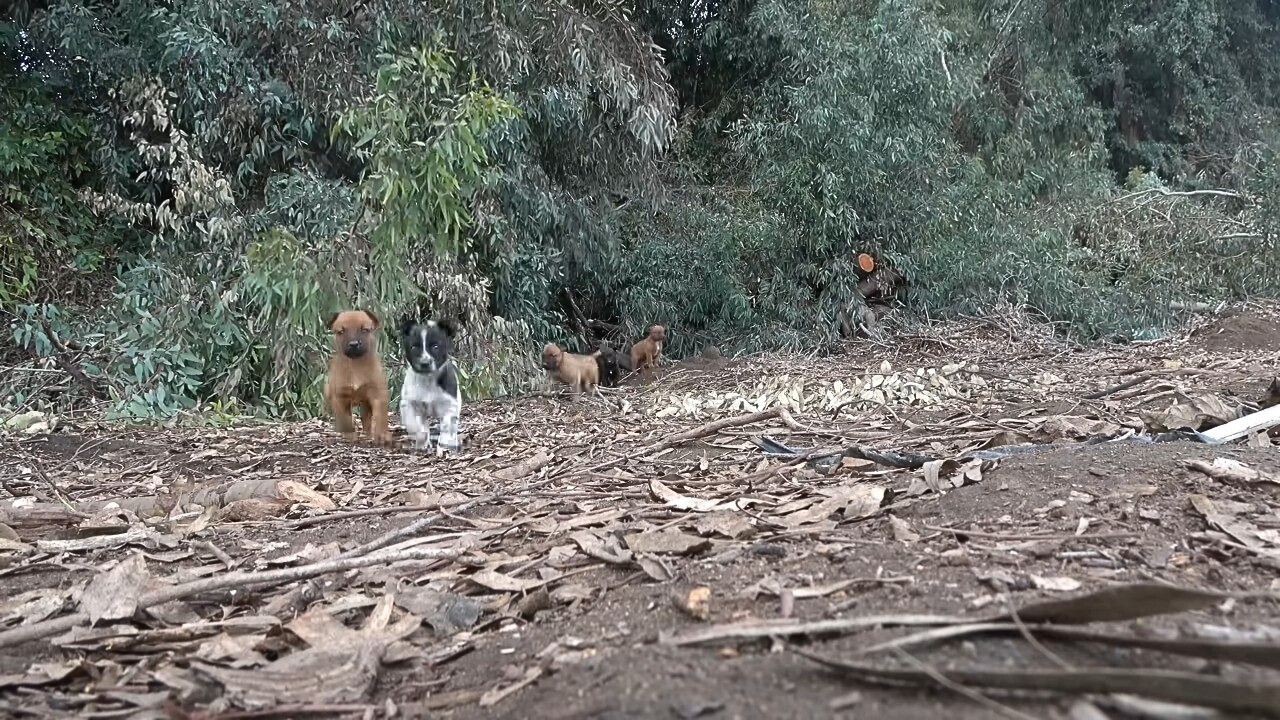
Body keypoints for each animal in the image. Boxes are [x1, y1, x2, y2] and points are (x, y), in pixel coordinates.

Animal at [320, 308, 389, 443]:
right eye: (341, 332)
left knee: (366, 418)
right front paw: (349, 434)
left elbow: (380, 417)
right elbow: (345, 418)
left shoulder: (377, 394)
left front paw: (381, 435)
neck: (356, 365)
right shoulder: (340, 396)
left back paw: (368, 433)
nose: (353, 344)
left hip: (365, 403)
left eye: (365, 330)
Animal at [399, 315, 465, 450]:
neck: (428, 380)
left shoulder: (449, 404)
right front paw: (422, 443)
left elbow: (447, 426)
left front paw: (445, 443)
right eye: (414, 347)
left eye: (435, 346)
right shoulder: (410, 404)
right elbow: (417, 427)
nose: (425, 363)